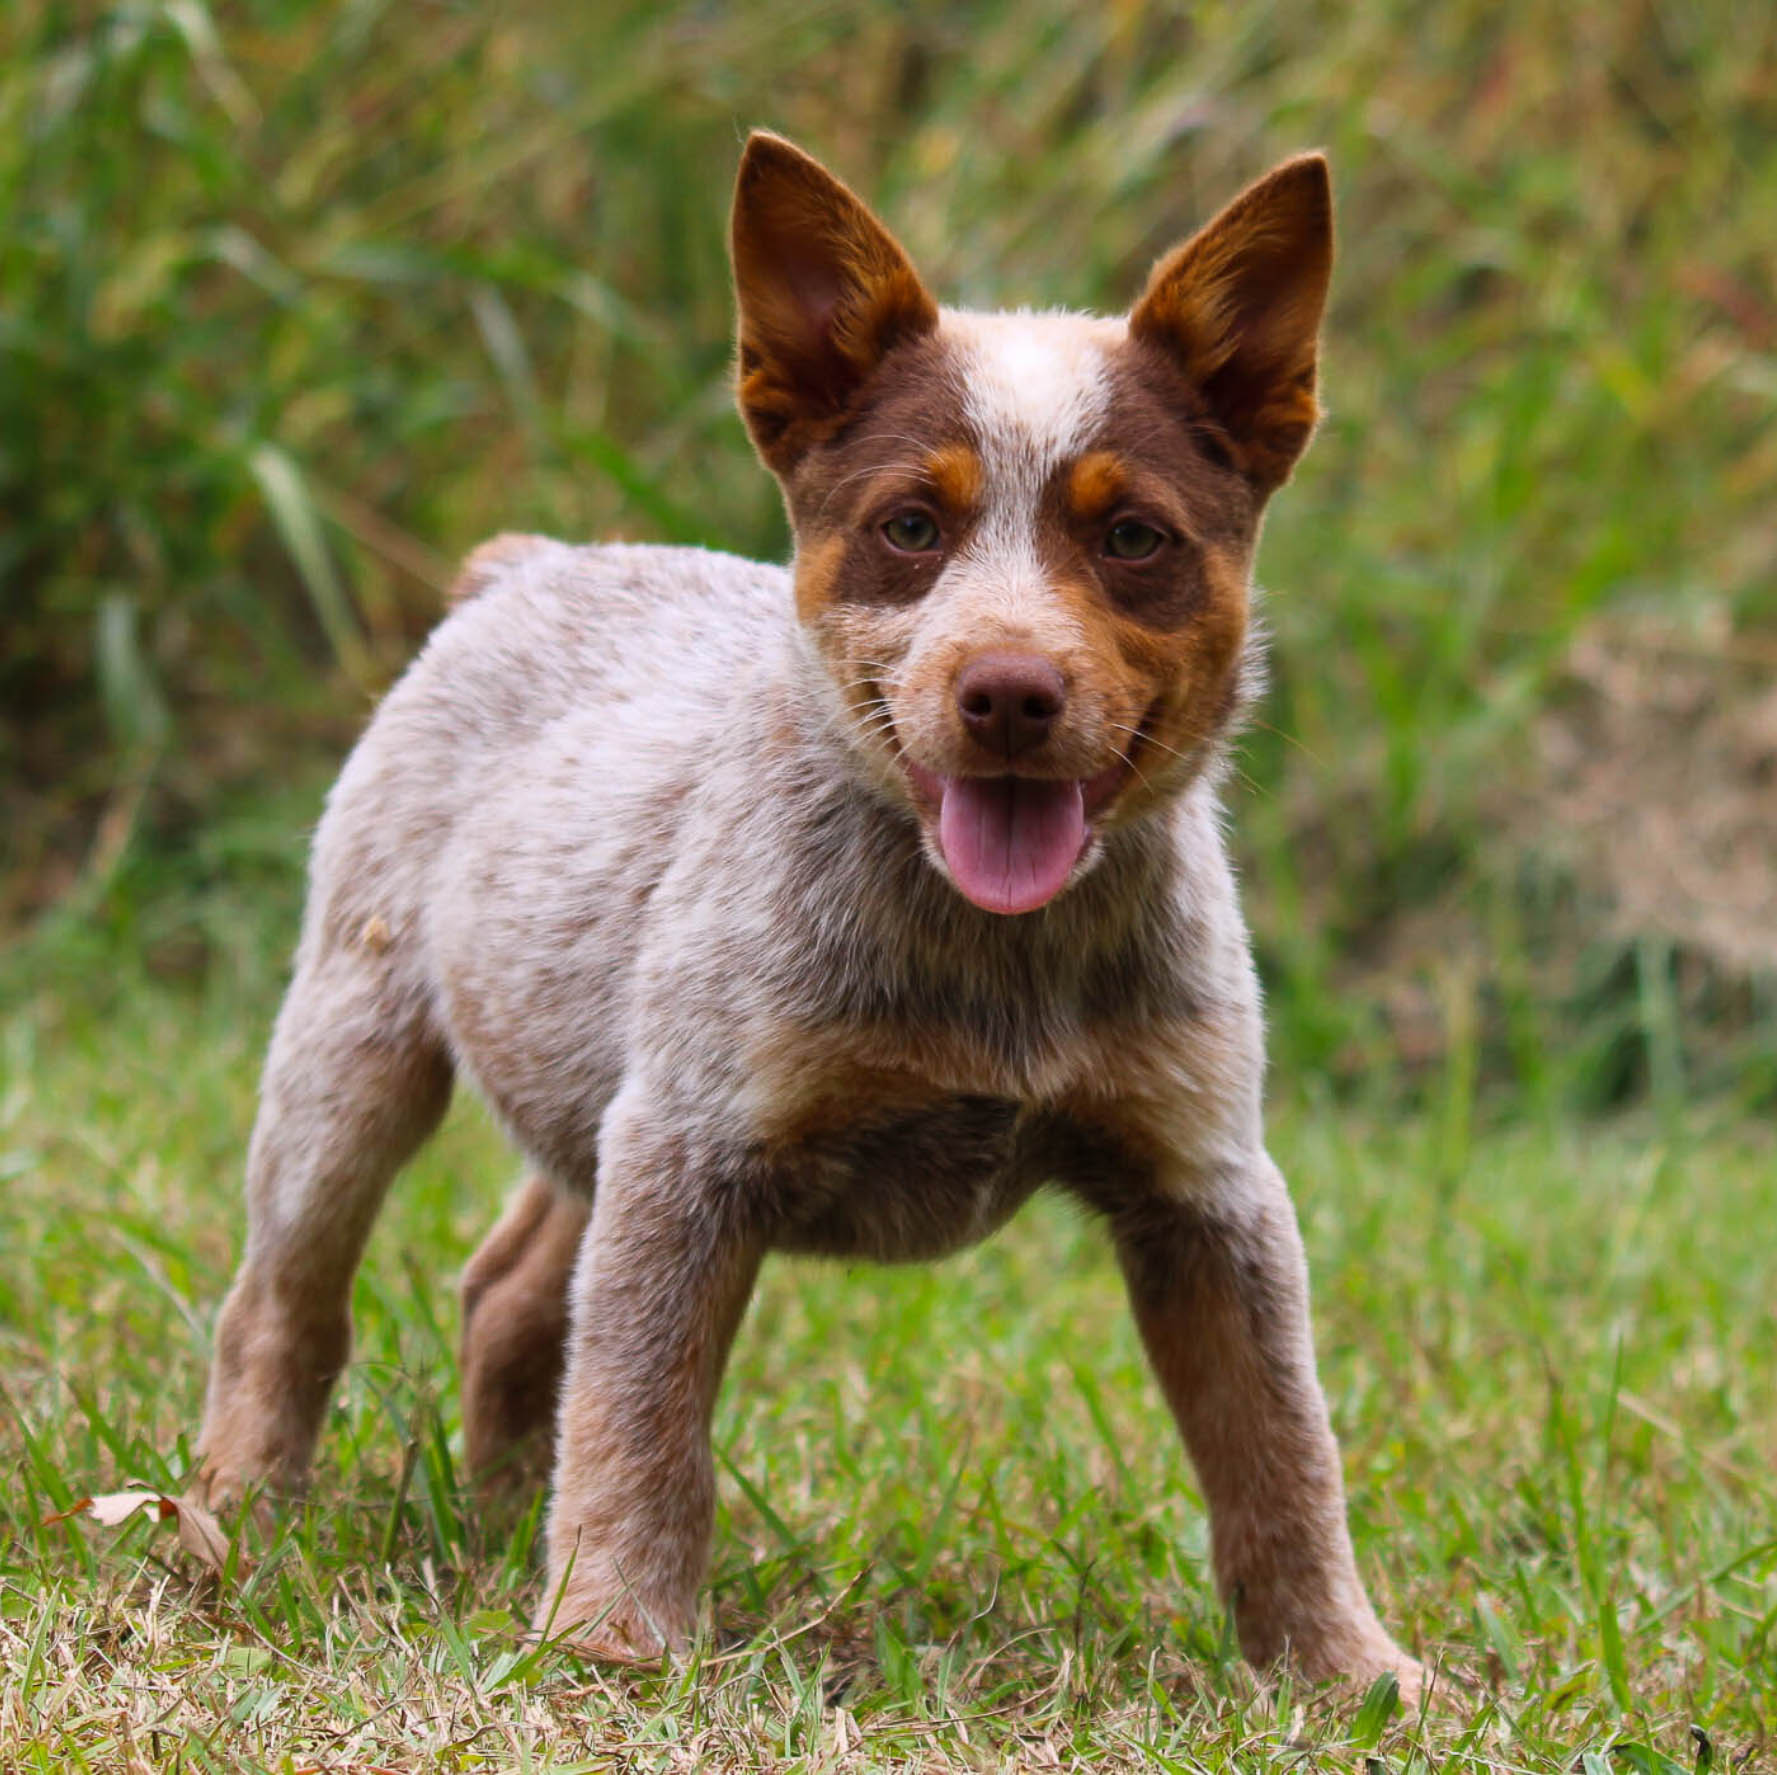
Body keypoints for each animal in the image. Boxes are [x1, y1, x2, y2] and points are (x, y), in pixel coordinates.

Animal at [187, 135, 1421, 1691]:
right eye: (911, 527)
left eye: (1133, 537)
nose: (1007, 690)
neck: (991, 947)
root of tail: (527, 563)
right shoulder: (692, 1147)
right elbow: (642, 1411)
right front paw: (612, 1632)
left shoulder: (1205, 1185)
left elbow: (1279, 1445)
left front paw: (1344, 1666)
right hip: (360, 1042)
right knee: (285, 1297)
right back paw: (237, 1514)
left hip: (588, 1067)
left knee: (514, 1289)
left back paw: (499, 1523)